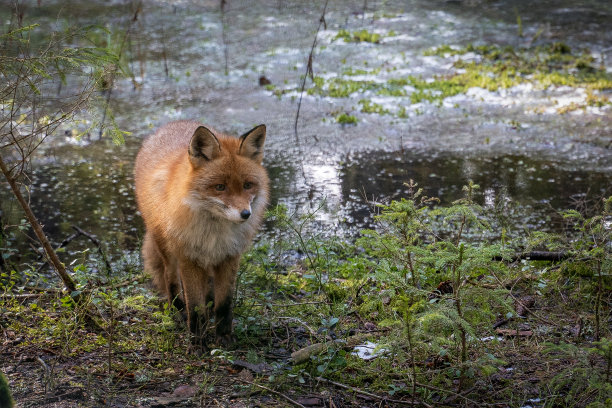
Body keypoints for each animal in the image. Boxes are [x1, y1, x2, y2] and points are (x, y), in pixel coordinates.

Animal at [135, 119, 268, 346]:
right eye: (220, 187)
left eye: (248, 185)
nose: (245, 214)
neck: (214, 234)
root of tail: (175, 123)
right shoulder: (189, 259)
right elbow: (195, 307)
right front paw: (197, 342)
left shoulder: (229, 257)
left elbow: (224, 304)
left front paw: (224, 337)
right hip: (167, 249)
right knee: (170, 278)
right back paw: (178, 309)